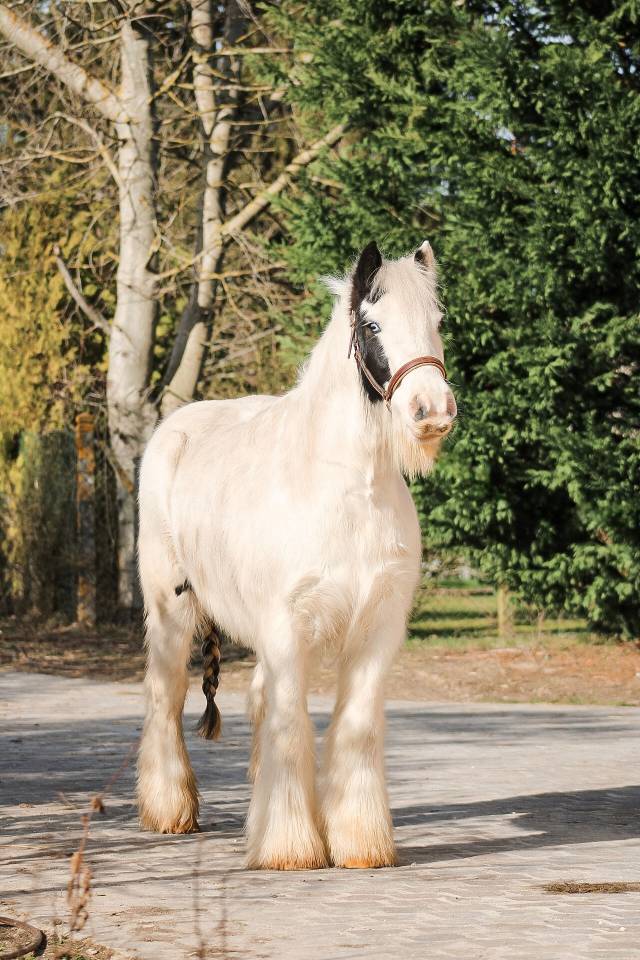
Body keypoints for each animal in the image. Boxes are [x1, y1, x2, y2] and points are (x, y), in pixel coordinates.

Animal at [137, 240, 457, 870]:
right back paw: (170, 811)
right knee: (168, 696)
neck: (348, 489)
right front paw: (289, 847)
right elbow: (292, 728)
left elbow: (353, 728)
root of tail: (176, 429)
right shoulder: (288, 627)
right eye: (373, 325)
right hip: (171, 610)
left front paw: (360, 843)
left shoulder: (376, 632)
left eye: (436, 322)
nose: (432, 411)